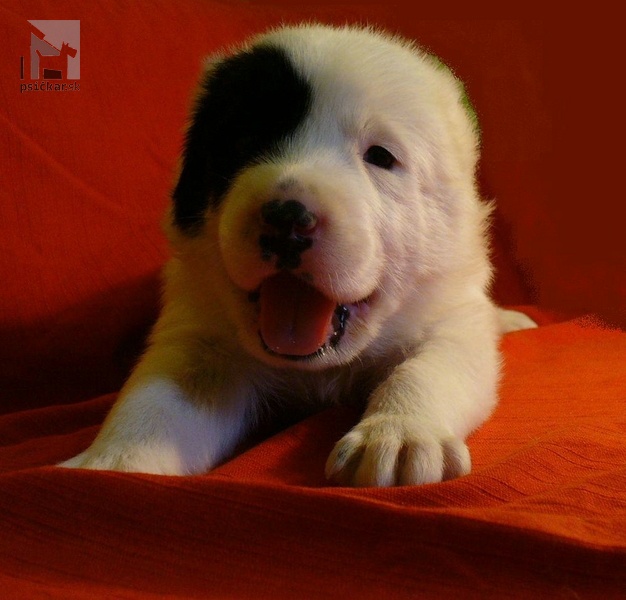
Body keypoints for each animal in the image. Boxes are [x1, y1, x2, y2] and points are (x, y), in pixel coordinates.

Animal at [59, 24, 536, 488]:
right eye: (244, 143)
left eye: (380, 156)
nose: (286, 219)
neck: (317, 371)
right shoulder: (201, 334)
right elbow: (158, 395)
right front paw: (114, 461)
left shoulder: (449, 318)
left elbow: (429, 367)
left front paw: (398, 434)